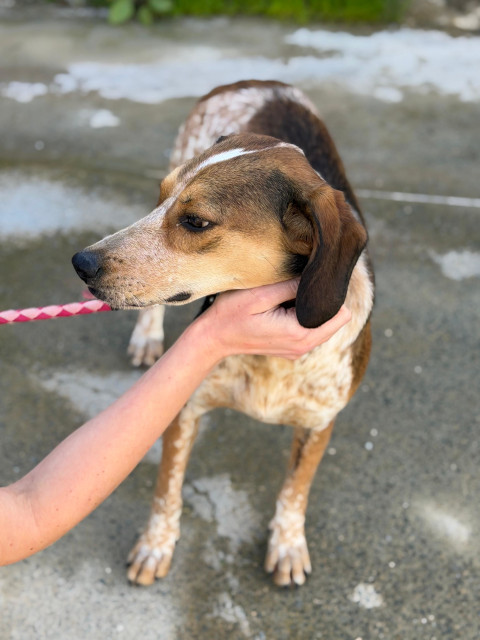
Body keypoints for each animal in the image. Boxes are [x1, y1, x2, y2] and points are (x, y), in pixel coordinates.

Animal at [72, 80, 374, 587]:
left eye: (196, 221)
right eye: (160, 198)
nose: (80, 262)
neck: (269, 361)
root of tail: (250, 82)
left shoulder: (319, 423)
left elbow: (295, 490)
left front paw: (288, 543)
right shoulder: (183, 406)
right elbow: (167, 490)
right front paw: (155, 545)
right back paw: (147, 338)